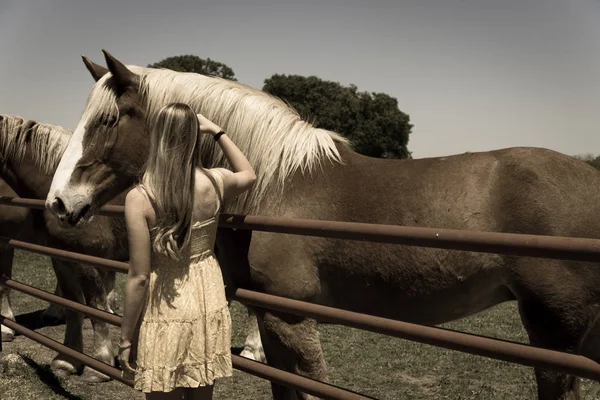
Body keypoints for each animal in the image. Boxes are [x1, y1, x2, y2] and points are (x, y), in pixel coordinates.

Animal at [48, 50, 600, 400]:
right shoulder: (271, 321)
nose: (58, 202)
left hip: (555, 336)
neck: (274, 183)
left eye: (108, 120)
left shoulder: (293, 319)